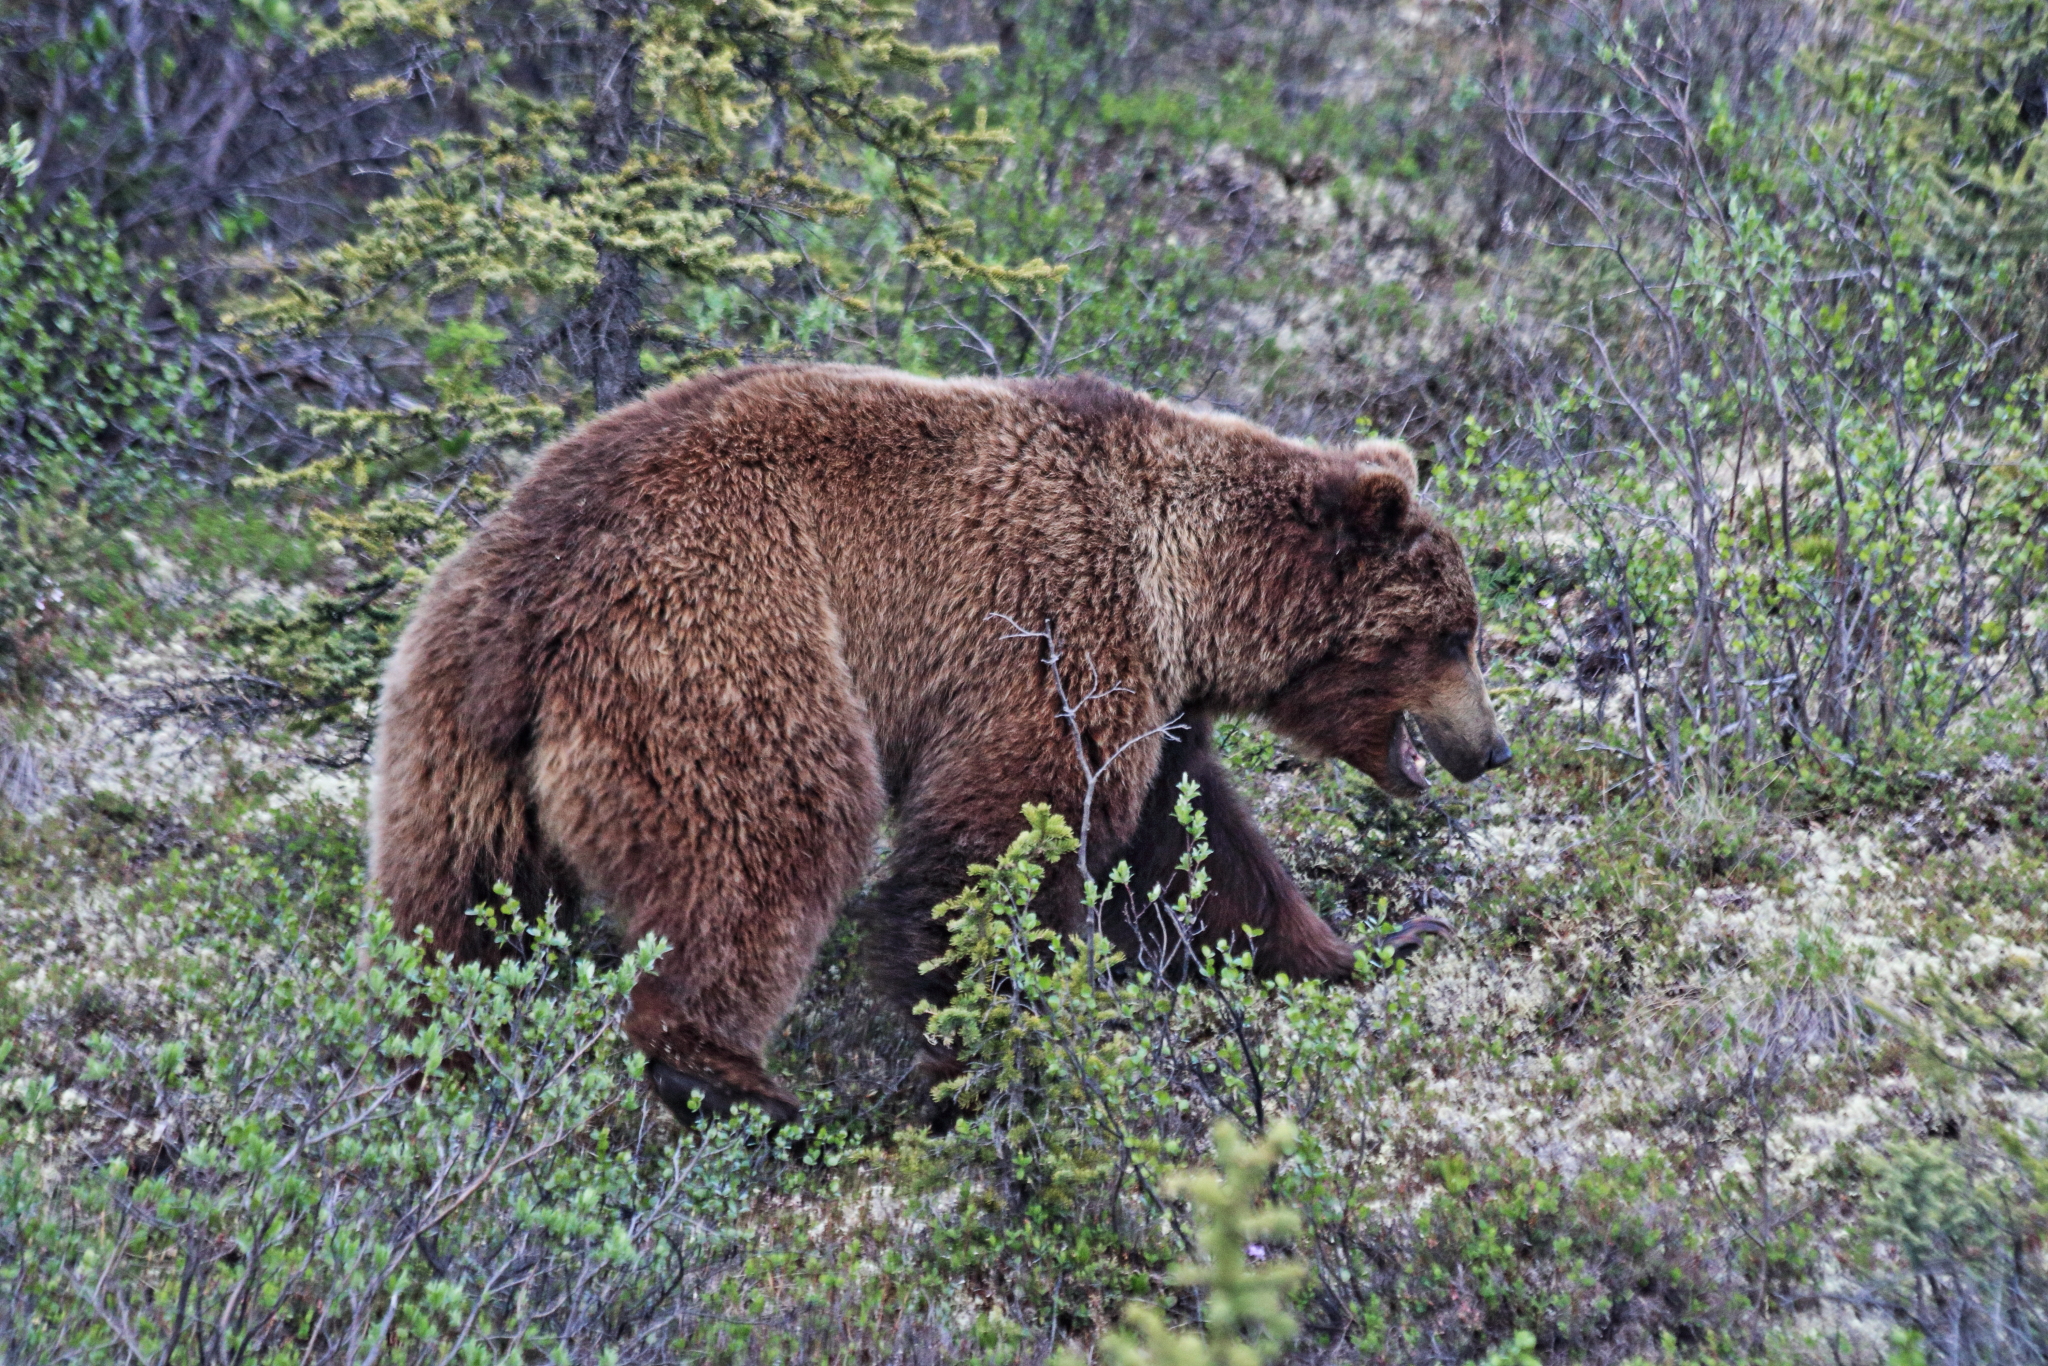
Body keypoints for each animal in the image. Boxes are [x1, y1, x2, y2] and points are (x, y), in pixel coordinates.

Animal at [376, 362, 1515, 1122]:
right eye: (1453, 633)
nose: (1491, 748)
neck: (1187, 583)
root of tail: (540, 589)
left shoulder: (1150, 697)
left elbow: (1193, 850)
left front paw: (1371, 943)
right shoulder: (1054, 624)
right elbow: (1004, 835)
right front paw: (1002, 1037)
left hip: (449, 725)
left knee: (453, 910)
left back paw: (441, 1061)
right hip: (720, 641)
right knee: (769, 844)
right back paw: (735, 1084)